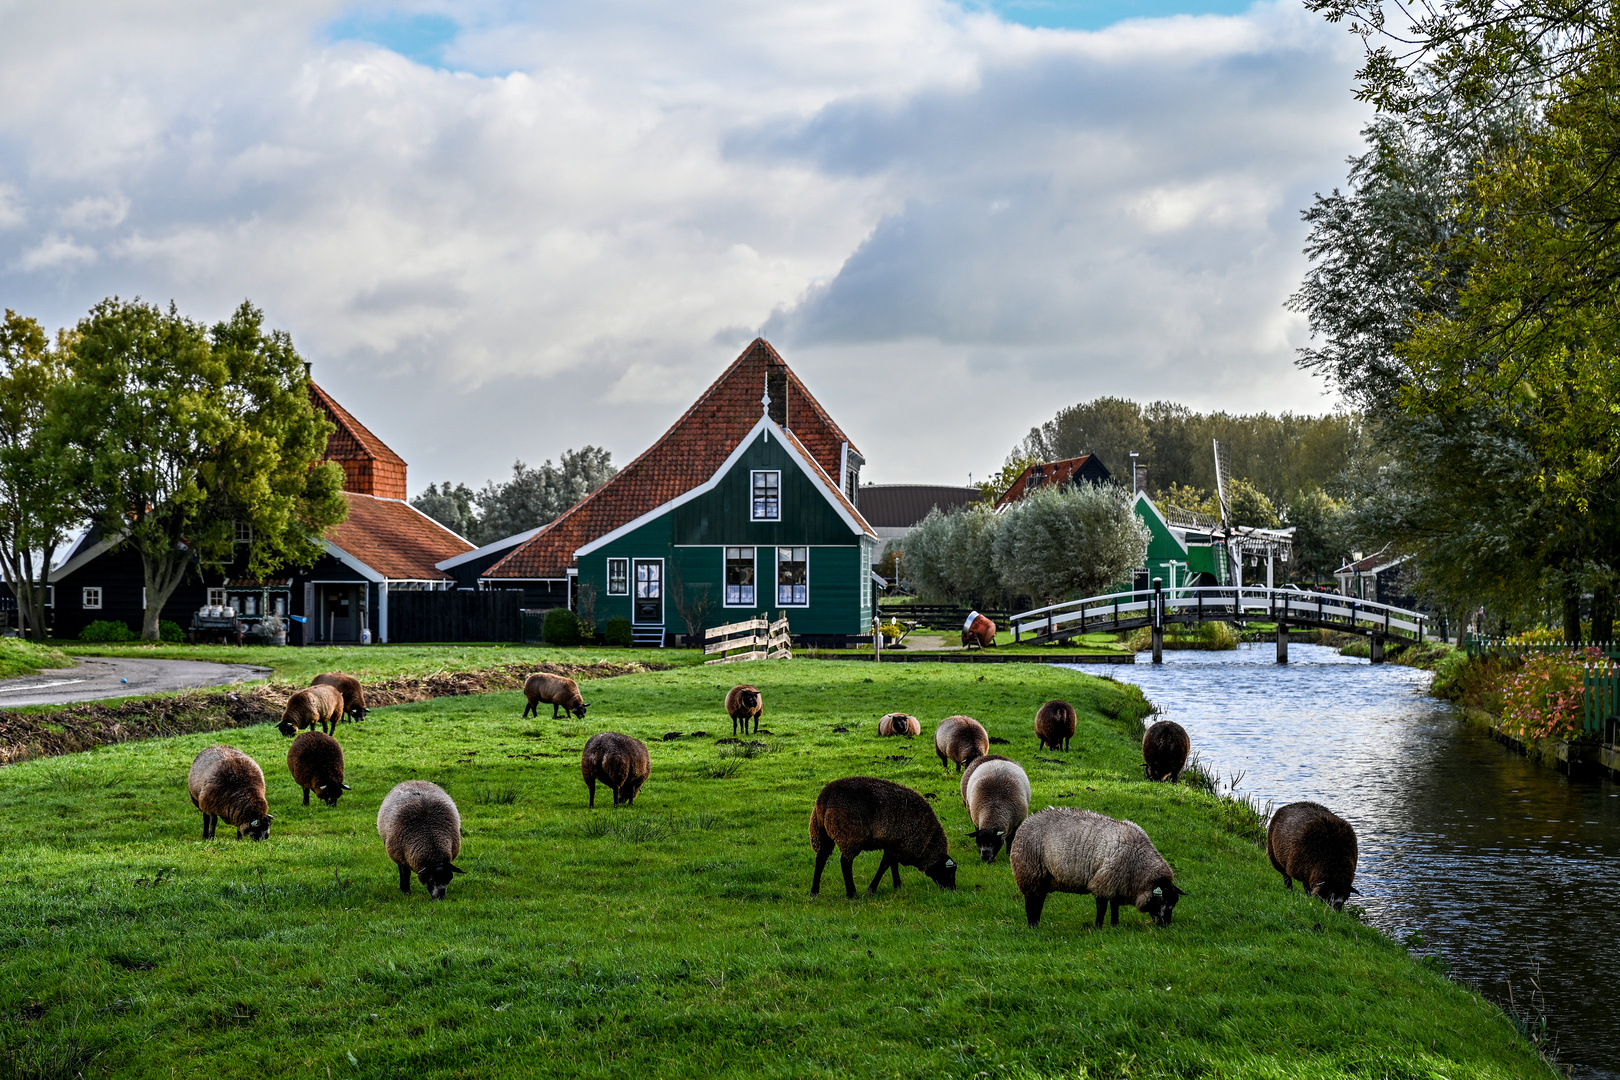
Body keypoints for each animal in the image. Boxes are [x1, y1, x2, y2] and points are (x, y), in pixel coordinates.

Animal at [383, 777, 473, 906]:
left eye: (449, 878)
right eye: (431, 880)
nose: (440, 898)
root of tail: (415, 781)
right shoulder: (401, 855)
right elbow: (405, 873)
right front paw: (406, 891)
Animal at [806, 777, 952, 906]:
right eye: (950, 871)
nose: (952, 890)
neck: (926, 842)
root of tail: (825, 797)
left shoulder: (894, 843)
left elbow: (892, 864)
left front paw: (897, 885)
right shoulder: (897, 843)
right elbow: (884, 865)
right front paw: (872, 889)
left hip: (820, 832)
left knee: (821, 859)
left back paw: (814, 892)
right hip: (850, 836)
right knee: (845, 863)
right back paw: (852, 893)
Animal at [1004, 806, 1185, 926]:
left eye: (1174, 903)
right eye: (1162, 901)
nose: (1165, 926)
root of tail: (1026, 822)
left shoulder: (1118, 884)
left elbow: (1114, 906)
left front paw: (1115, 925)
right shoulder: (1104, 882)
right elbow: (1102, 907)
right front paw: (1098, 927)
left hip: (1043, 877)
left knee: (1039, 900)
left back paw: (1037, 922)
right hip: (1029, 872)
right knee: (1030, 902)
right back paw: (1032, 925)